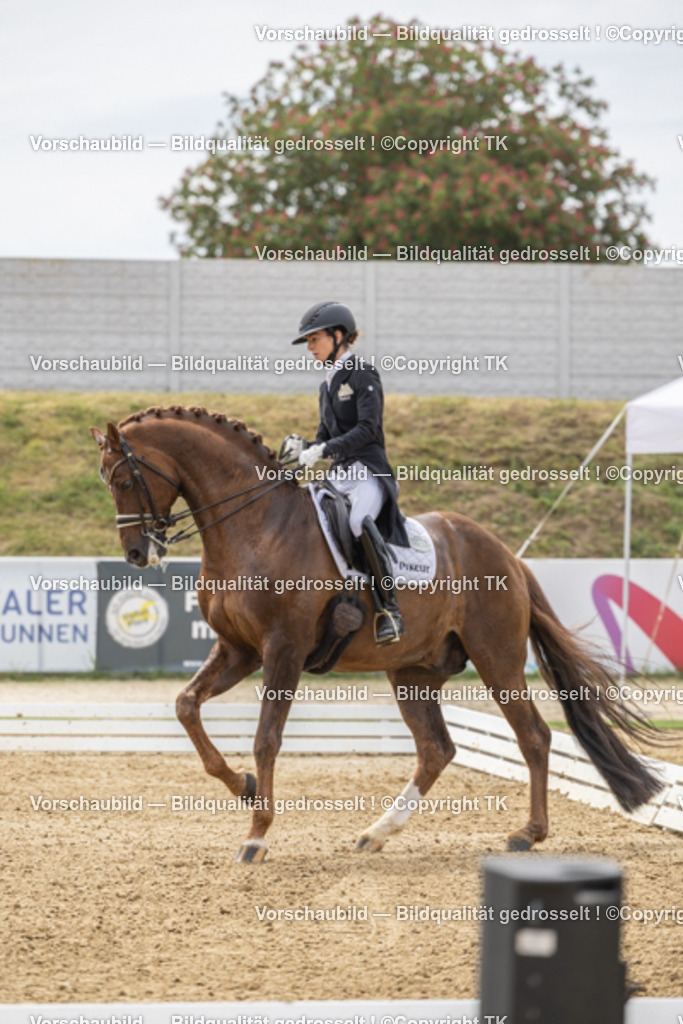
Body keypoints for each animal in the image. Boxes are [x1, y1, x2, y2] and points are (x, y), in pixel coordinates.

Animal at [91, 405, 662, 863]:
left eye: (124, 480)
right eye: (107, 481)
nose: (138, 554)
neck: (255, 527)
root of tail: (506, 554)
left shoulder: (282, 651)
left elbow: (266, 739)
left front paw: (256, 835)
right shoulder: (238, 650)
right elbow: (186, 705)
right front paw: (244, 787)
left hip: (496, 658)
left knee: (535, 737)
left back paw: (527, 833)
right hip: (413, 671)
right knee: (437, 749)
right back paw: (377, 832)